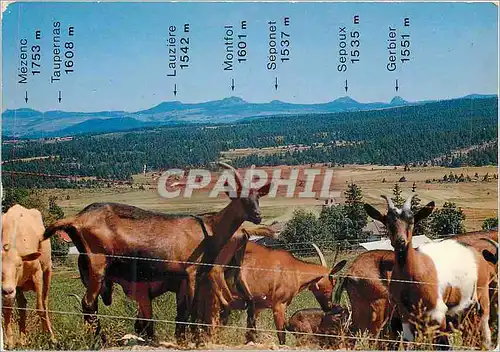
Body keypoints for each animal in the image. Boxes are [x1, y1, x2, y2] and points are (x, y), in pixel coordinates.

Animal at [1, 205, 54, 348]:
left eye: (19, 265)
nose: (7, 290)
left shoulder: (37, 275)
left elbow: (40, 308)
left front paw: (48, 338)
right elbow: (7, 310)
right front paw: (9, 342)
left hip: (47, 270)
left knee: (45, 303)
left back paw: (51, 336)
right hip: (18, 287)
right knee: (22, 306)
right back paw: (22, 339)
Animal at [42, 163, 270, 340]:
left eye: (258, 197)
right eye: (241, 198)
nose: (258, 215)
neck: (209, 229)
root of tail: (77, 218)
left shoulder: (187, 279)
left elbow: (185, 311)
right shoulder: (190, 273)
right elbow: (189, 310)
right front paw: (191, 339)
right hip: (98, 263)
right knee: (88, 302)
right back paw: (99, 339)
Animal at [219, 242, 348, 344]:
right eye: (333, 282)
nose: (328, 306)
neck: (294, 269)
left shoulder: (257, 307)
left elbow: (250, 333)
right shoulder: (279, 305)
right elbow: (281, 334)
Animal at [366, 195, 494, 350]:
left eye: (411, 221)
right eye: (387, 221)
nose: (400, 241)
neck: (411, 276)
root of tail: (478, 255)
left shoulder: (437, 312)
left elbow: (442, 344)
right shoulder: (405, 314)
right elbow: (409, 341)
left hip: (482, 295)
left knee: (484, 327)